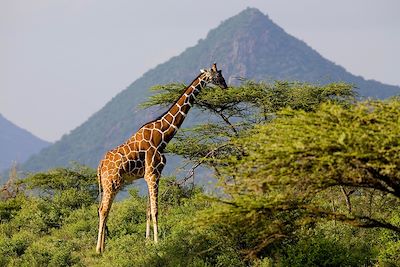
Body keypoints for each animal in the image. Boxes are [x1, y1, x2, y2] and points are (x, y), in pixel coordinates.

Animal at [95, 63, 227, 255]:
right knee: (103, 210)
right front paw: (158, 245)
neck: (163, 136)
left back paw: (103, 247)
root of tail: (100, 165)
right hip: (111, 183)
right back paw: (98, 250)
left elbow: (148, 211)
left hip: (112, 184)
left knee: (104, 209)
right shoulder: (153, 174)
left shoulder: (149, 175)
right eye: (217, 76)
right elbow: (155, 210)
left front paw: (147, 242)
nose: (226, 86)